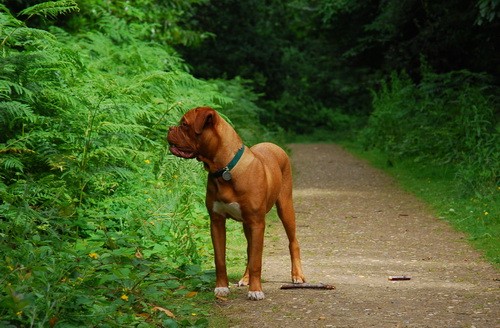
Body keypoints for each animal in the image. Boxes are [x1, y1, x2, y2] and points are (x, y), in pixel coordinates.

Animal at [167, 107, 304, 300]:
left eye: (185, 124)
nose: (170, 128)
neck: (224, 169)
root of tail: (273, 144)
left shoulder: (257, 223)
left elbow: (256, 261)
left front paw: (256, 290)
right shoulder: (217, 221)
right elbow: (221, 259)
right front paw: (221, 287)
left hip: (285, 207)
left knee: (293, 242)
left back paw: (297, 275)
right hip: (248, 224)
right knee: (249, 250)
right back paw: (245, 278)